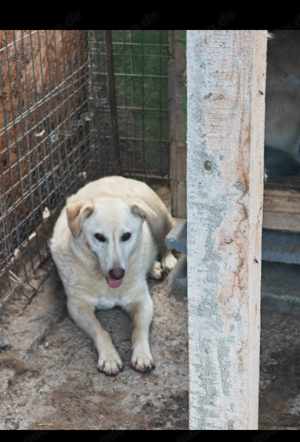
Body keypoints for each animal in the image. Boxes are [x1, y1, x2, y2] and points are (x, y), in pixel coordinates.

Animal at [49, 175, 176, 372]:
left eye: (126, 236)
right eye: (99, 237)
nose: (117, 273)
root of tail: (116, 176)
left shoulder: (143, 301)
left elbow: (139, 330)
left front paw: (142, 354)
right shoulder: (77, 307)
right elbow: (100, 331)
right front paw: (109, 357)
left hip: (159, 219)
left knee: (165, 241)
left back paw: (167, 260)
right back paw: (153, 267)